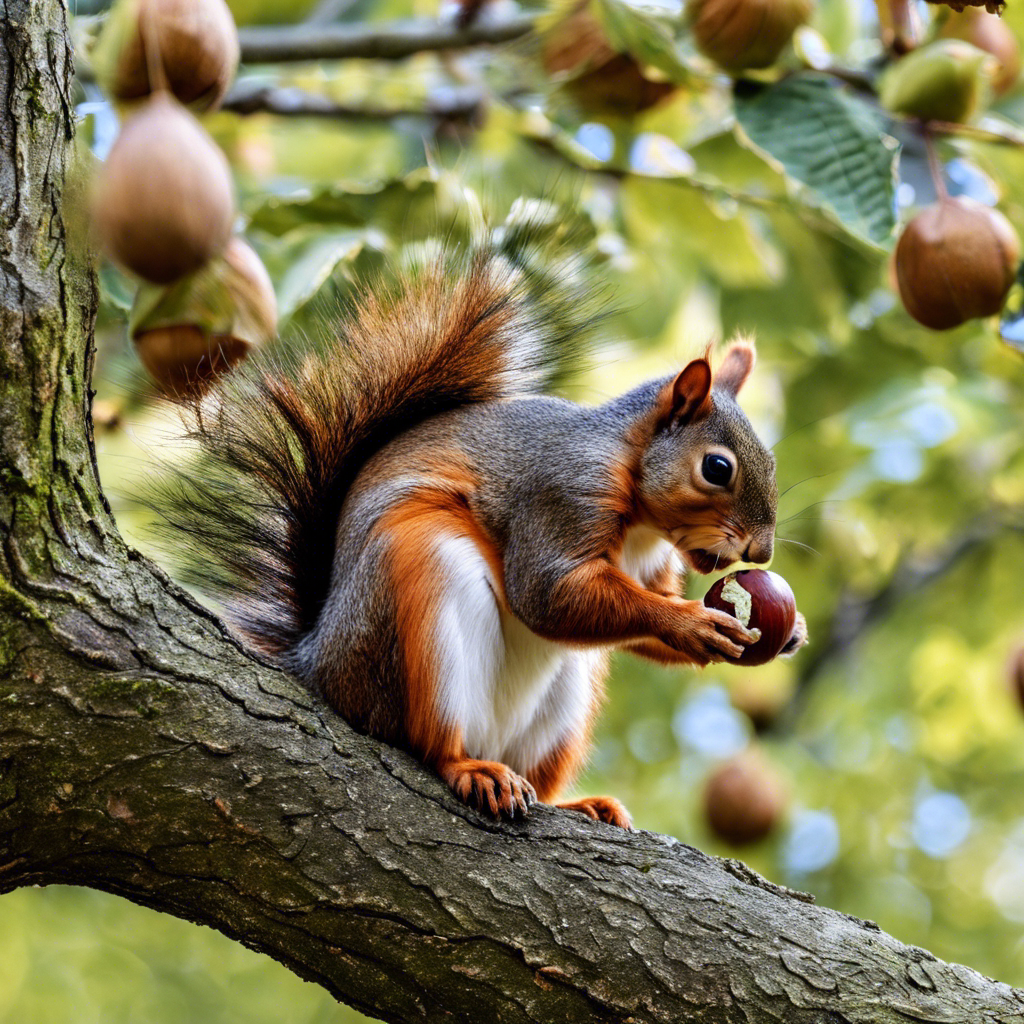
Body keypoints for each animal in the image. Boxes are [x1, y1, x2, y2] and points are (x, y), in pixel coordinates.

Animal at [165, 220, 806, 827]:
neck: (637, 498)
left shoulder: (649, 567)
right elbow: (547, 594)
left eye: (774, 462)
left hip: (563, 704)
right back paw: (470, 768)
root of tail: (319, 660)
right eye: (717, 468)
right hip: (414, 588)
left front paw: (787, 633)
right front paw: (692, 622)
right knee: (429, 741)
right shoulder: (561, 495)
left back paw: (578, 805)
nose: (762, 553)